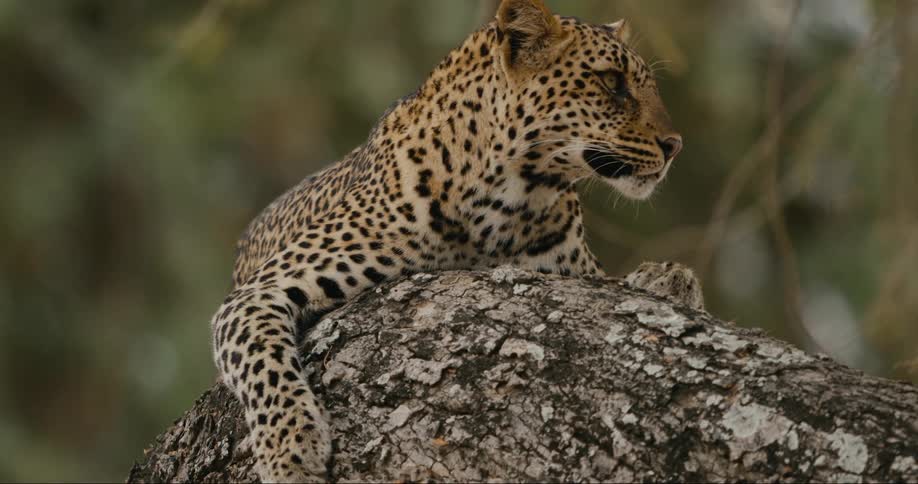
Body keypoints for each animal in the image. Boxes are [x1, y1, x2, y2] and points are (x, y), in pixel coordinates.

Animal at [210, 0, 703, 481]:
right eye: (611, 81)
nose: (675, 145)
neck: (509, 200)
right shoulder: (256, 294)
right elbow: (264, 363)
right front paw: (291, 450)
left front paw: (670, 278)